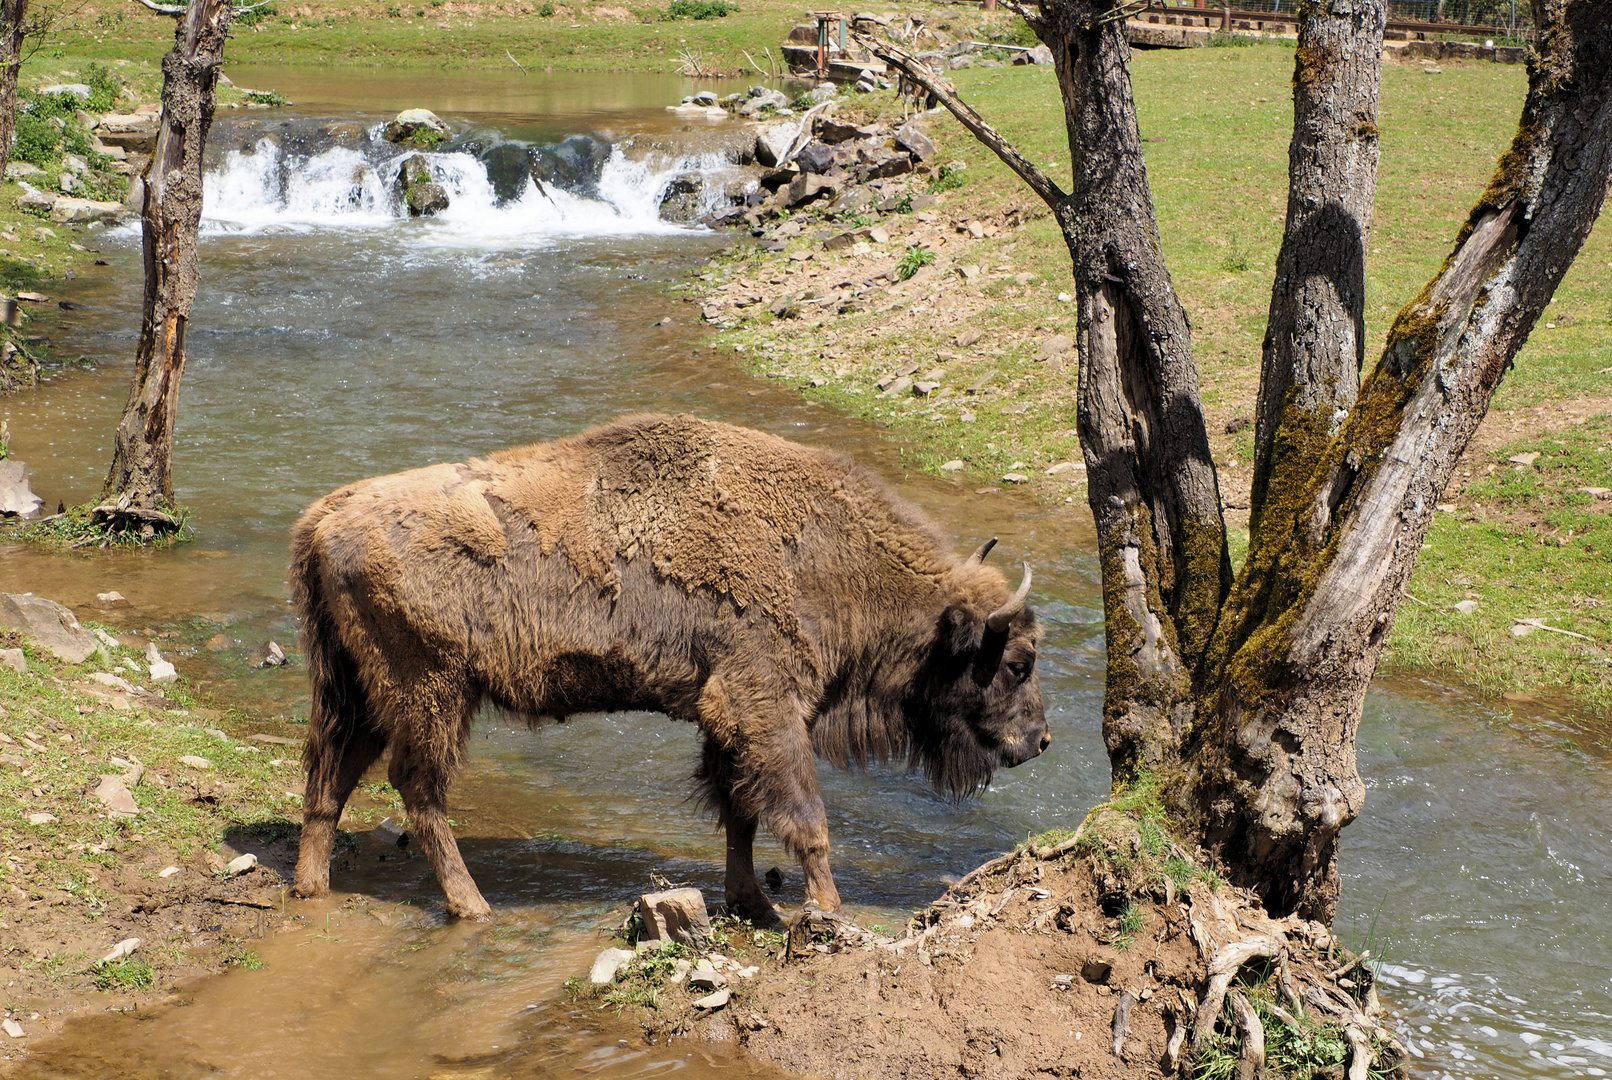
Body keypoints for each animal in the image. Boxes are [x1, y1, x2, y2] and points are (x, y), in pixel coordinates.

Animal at [290, 415, 1044, 922]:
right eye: (1014, 662)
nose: (1038, 740)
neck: (820, 553)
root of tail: (326, 517)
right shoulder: (766, 707)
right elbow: (802, 814)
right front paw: (828, 908)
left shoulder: (728, 717)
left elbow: (740, 811)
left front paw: (752, 902)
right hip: (431, 690)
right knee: (417, 788)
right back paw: (472, 906)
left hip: (361, 689)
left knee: (332, 773)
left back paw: (311, 886)